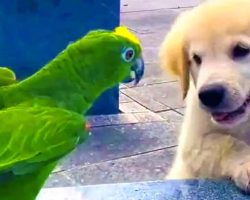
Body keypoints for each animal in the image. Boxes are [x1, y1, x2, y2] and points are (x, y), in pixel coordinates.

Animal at [160, 0, 250, 191]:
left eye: (241, 50)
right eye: (196, 58)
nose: (209, 95)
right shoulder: (192, 144)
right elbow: (226, 142)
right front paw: (247, 164)